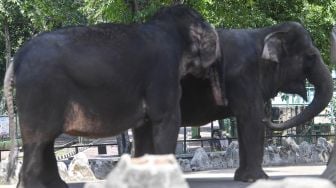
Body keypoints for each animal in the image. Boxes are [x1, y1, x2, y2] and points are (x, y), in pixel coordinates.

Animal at [5, 5, 222, 187]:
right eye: (202, 21)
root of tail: (17, 58)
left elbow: (143, 130)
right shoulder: (163, 77)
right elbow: (166, 121)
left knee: (45, 144)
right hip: (39, 95)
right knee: (38, 144)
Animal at [180, 21, 332, 181]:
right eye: (310, 56)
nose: (267, 118)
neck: (265, 32)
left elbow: (244, 124)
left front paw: (242, 177)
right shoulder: (243, 78)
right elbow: (253, 119)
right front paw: (257, 178)